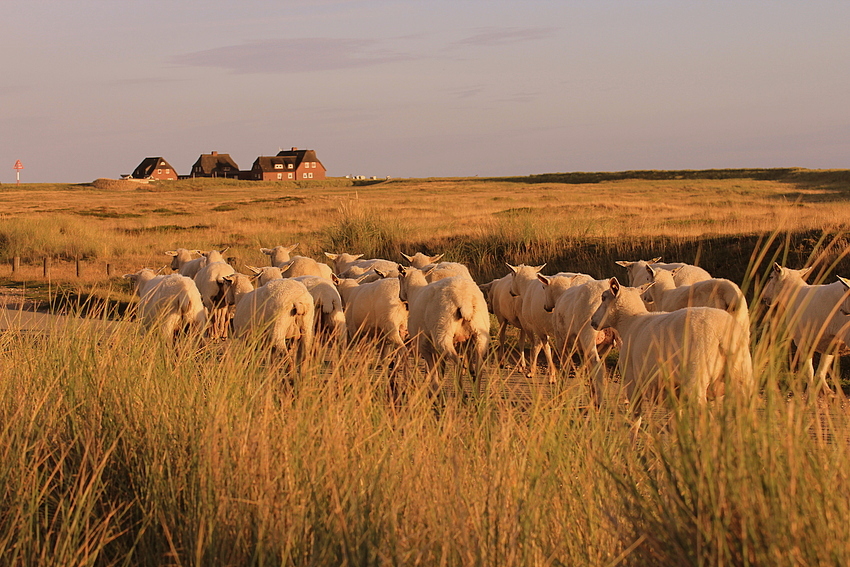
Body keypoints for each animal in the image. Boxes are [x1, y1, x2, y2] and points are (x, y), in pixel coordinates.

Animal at [398, 266, 490, 394]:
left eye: (399, 277)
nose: (400, 297)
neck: (414, 292)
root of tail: (464, 300)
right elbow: (439, 368)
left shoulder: (422, 344)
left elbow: (432, 368)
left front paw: (434, 388)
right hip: (480, 333)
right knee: (478, 369)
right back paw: (476, 394)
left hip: (443, 331)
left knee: (458, 363)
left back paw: (462, 394)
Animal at [588, 278, 752, 410]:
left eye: (603, 297)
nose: (592, 321)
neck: (631, 321)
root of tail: (722, 334)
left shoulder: (632, 383)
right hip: (742, 378)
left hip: (695, 380)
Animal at [760, 262, 848, 392]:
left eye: (771, 277)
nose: (764, 297)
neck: (793, 294)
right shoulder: (829, 343)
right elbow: (821, 370)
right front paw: (827, 393)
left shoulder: (801, 340)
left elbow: (809, 371)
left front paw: (809, 393)